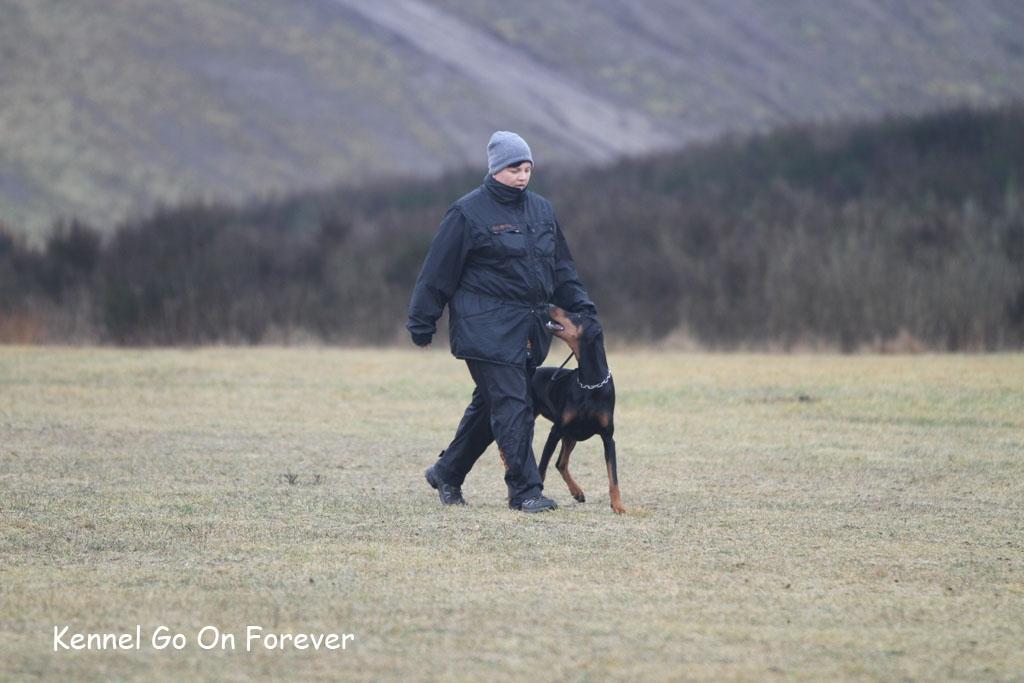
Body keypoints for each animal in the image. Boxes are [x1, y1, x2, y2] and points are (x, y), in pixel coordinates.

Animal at [536, 305, 622, 511]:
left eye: (578, 315)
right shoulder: (556, 430)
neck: (590, 382)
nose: (549, 305)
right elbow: (541, 467)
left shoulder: (608, 437)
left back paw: (577, 492)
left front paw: (618, 506)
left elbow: (613, 476)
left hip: (571, 436)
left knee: (561, 463)